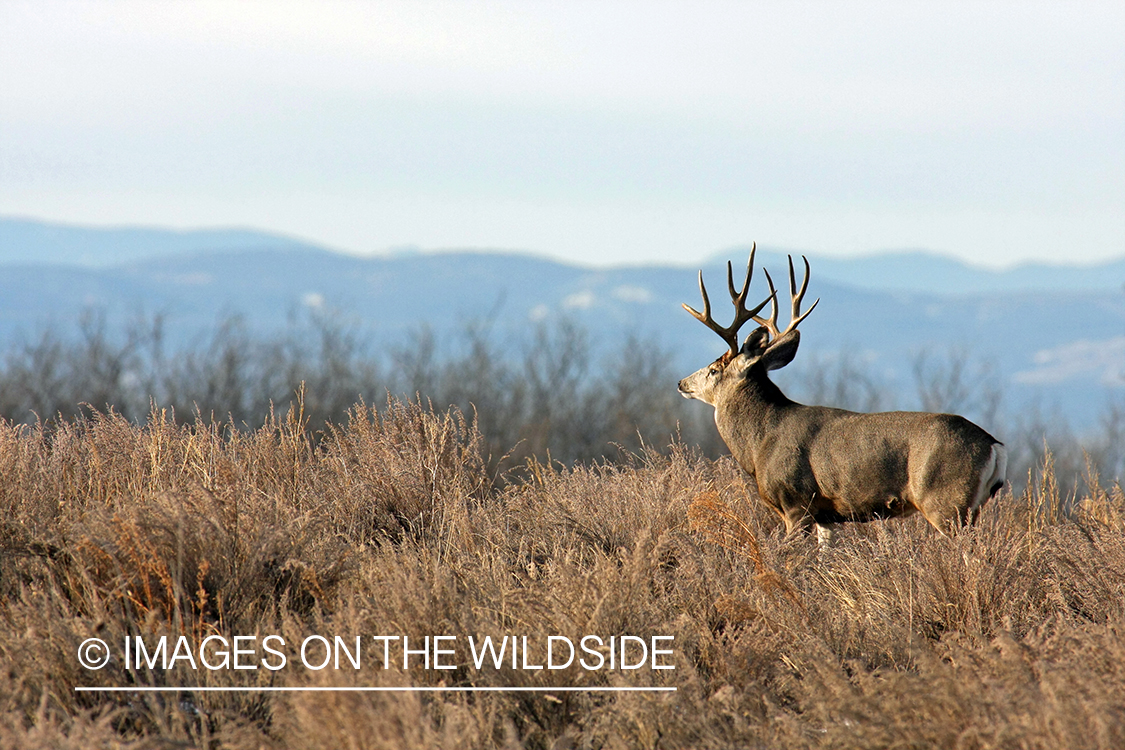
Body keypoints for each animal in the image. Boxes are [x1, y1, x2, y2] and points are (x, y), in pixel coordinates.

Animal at [678, 245, 1006, 545]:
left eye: (713, 370)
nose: (682, 383)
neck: (761, 443)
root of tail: (994, 445)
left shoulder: (796, 502)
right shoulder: (827, 516)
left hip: (946, 500)